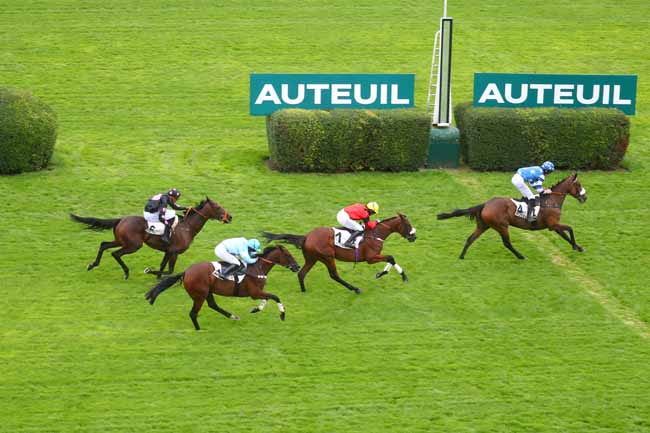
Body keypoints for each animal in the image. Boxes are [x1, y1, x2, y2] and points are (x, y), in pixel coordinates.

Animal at [70, 197, 232, 280]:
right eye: (218, 207)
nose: (229, 217)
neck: (187, 227)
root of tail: (121, 220)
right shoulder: (174, 252)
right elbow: (169, 270)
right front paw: (150, 271)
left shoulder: (168, 251)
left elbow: (162, 266)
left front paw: (157, 277)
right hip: (134, 245)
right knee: (116, 253)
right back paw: (126, 273)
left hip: (121, 240)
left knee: (104, 245)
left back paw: (92, 264)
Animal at [143, 245, 300, 330]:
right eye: (288, 254)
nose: (297, 266)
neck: (257, 268)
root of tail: (186, 272)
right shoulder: (254, 293)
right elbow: (275, 296)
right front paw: (282, 314)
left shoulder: (258, 292)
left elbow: (268, 298)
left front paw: (256, 309)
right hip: (199, 295)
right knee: (193, 313)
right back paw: (199, 330)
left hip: (207, 292)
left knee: (213, 305)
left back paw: (233, 316)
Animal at [262, 212, 416, 294]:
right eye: (408, 225)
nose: (414, 237)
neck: (375, 234)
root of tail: (307, 237)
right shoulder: (370, 258)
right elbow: (390, 257)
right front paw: (399, 276)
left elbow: (391, 258)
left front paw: (383, 273)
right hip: (327, 257)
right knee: (334, 275)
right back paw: (355, 289)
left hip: (312, 258)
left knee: (301, 273)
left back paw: (304, 291)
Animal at [438, 172, 584, 260]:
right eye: (578, 184)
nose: (585, 197)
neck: (551, 200)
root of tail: (485, 204)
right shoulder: (553, 224)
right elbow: (570, 229)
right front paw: (576, 246)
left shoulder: (553, 226)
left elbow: (565, 235)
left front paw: (578, 247)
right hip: (502, 226)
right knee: (507, 243)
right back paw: (520, 256)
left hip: (484, 225)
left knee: (470, 238)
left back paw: (462, 256)